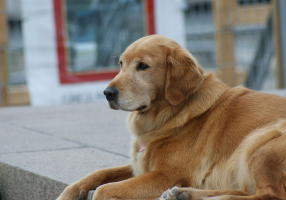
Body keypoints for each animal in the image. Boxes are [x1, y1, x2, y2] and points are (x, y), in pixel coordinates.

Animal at [57, 35, 286, 199]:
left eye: (143, 66)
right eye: (121, 64)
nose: (107, 93)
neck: (170, 116)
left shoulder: (167, 175)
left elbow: (104, 189)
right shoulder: (140, 166)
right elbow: (99, 173)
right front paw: (68, 193)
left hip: (260, 141)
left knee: (268, 195)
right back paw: (185, 194)